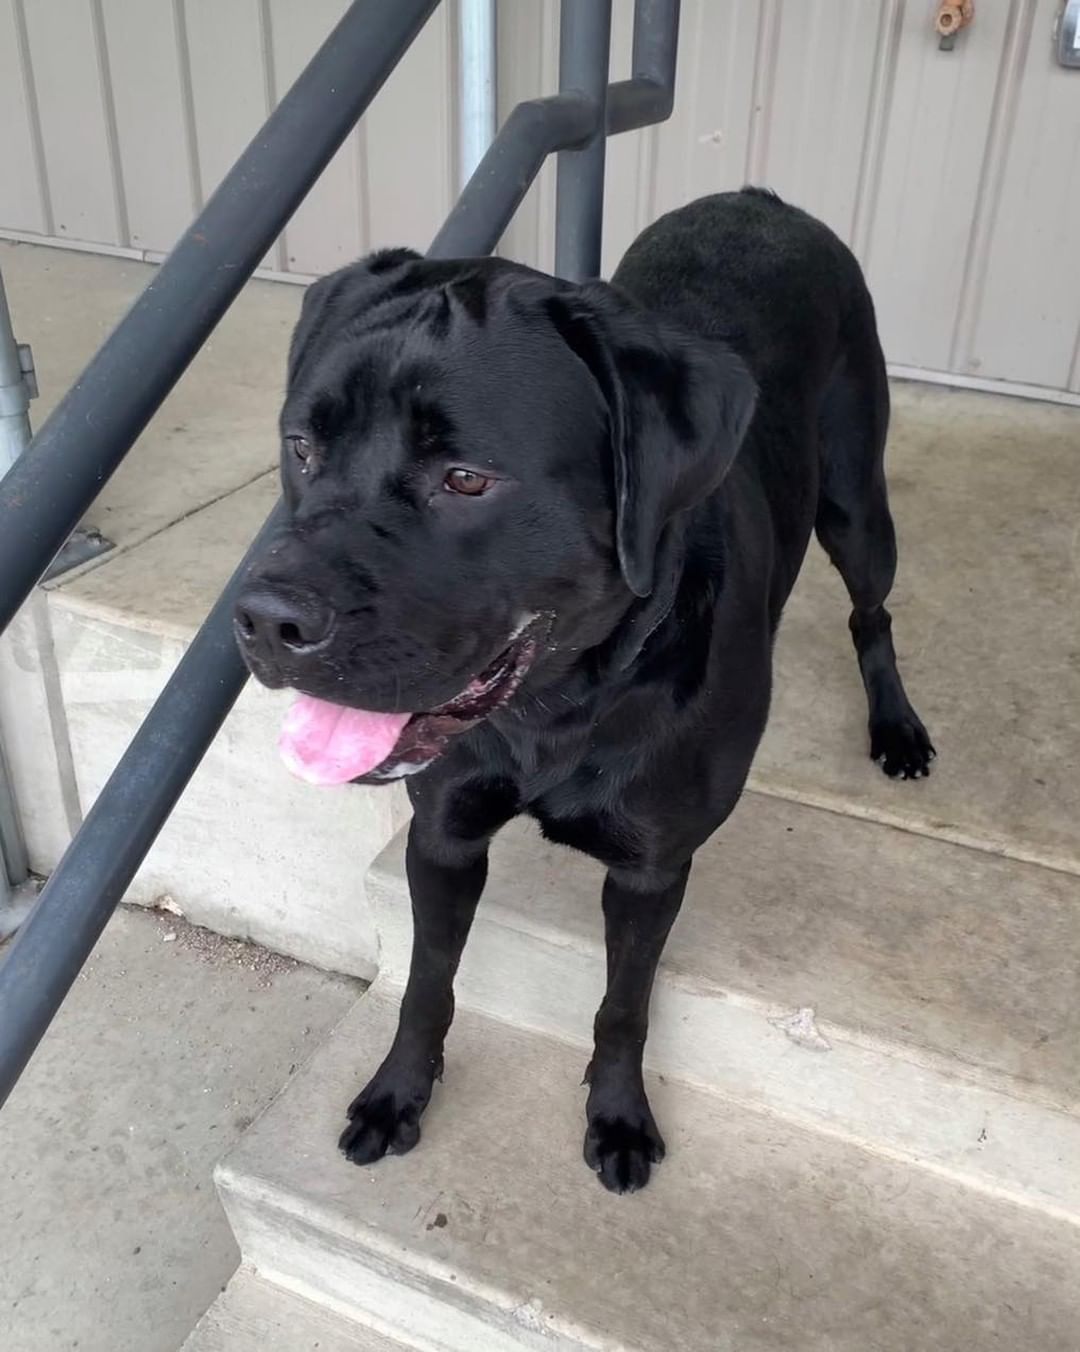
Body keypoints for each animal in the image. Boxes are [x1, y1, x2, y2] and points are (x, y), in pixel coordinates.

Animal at [239, 190, 935, 1195]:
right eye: (301, 446)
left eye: (465, 478)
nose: (263, 622)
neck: (558, 707)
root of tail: (759, 200)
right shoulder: (443, 836)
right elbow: (426, 983)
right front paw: (397, 1093)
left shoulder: (651, 870)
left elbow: (623, 1006)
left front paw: (619, 1117)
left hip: (856, 501)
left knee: (871, 611)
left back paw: (898, 728)